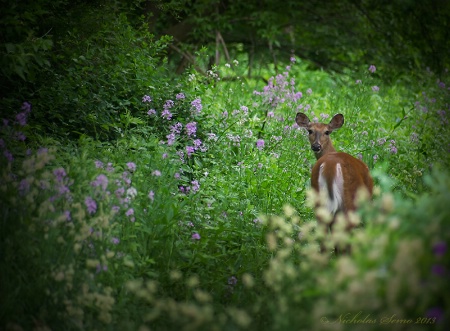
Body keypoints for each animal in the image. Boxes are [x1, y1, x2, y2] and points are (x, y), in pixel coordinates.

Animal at [296, 113, 372, 255]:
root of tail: (330, 166)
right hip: (348, 202)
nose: (316, 146)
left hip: (319, 199)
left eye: (327, 132)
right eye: (310, 130)